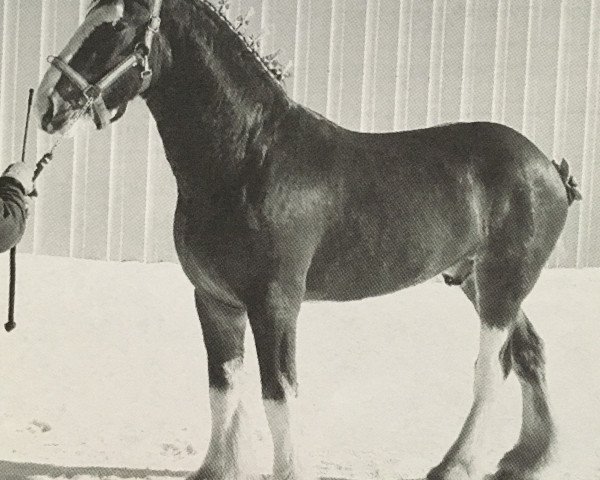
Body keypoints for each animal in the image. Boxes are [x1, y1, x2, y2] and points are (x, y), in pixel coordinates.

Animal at [34, 1, 580, 478]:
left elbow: (278, 393)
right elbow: (222, 387)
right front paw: (216, 468)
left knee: (491, 371)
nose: (47, 104)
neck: (248, 159)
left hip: (504, 282)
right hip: (477, 281)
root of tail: (547, 166)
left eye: (117, 28)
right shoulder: (214, 301)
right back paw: (528, 458)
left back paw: (456, 465)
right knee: (528, 351)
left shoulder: (275, 302)